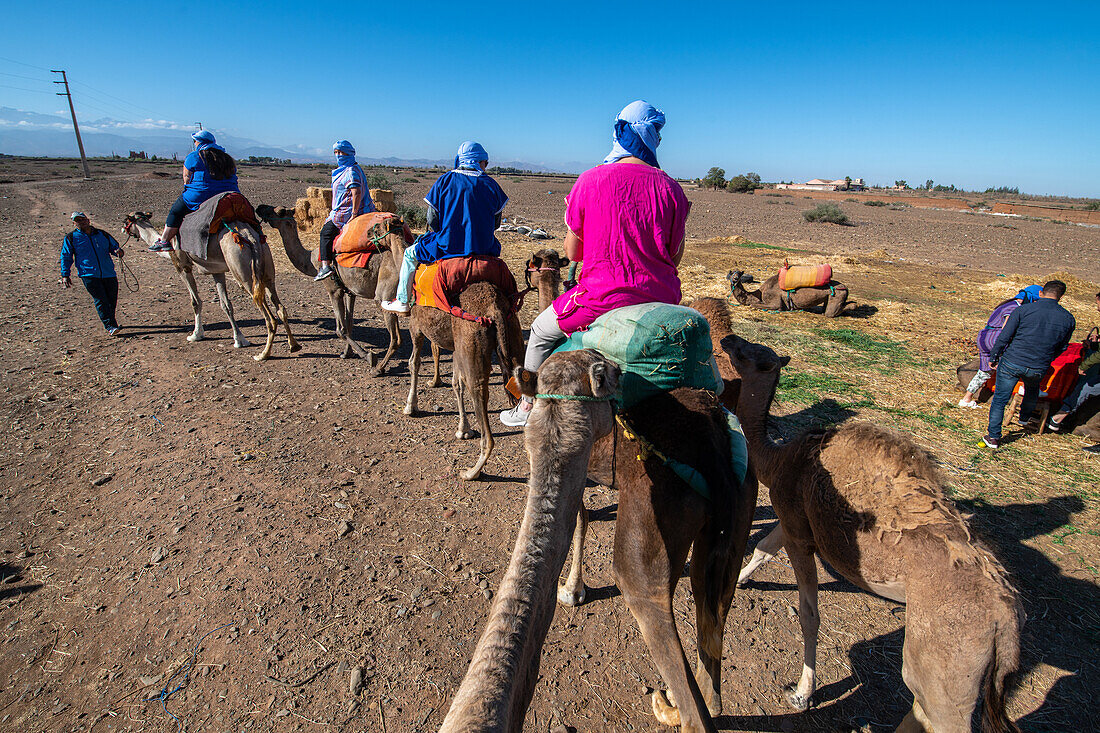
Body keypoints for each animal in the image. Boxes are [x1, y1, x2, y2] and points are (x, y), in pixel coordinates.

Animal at [121, 211, 297, 358]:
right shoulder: (217, 271)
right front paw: (239, 339)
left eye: (126, 221)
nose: (123, 229)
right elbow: (226, 305)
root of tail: (249, 237)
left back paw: (263, 354)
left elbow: (195, 301)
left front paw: (196, 334)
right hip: (266, 267)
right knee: (280, 307)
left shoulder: (182, 266)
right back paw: (293, 345)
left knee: (269, 317)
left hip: (244, 274)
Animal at [255, 203, 407, 372]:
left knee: (395, 335)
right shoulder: (350, 291)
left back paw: (379, 368)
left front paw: (367, 356)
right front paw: (347, 353)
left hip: (384, 294)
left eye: (276, 211)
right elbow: (349, 324)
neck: (311, 261)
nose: (259, 207)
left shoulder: (333, 289)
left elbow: (340, 330)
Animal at [442, 347, 761, 730]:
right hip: (736, 517)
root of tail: (713, 445)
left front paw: (571, 590)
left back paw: (667, 704)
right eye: (611, 372)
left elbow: (581, 518)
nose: (615, 367)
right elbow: (583, 516)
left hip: (649, 537)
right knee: (711, 614)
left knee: (644, 594)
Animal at [721, 334, 1020, 726]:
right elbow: (763, 548)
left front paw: (802, 693)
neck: (777, 458)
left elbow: (809, 615)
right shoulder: (795, 520)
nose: (727, 339)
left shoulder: (798, 528)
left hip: (948, 660)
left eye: (748, 353)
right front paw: (741, 580)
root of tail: (1005, 622)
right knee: (922, 708)